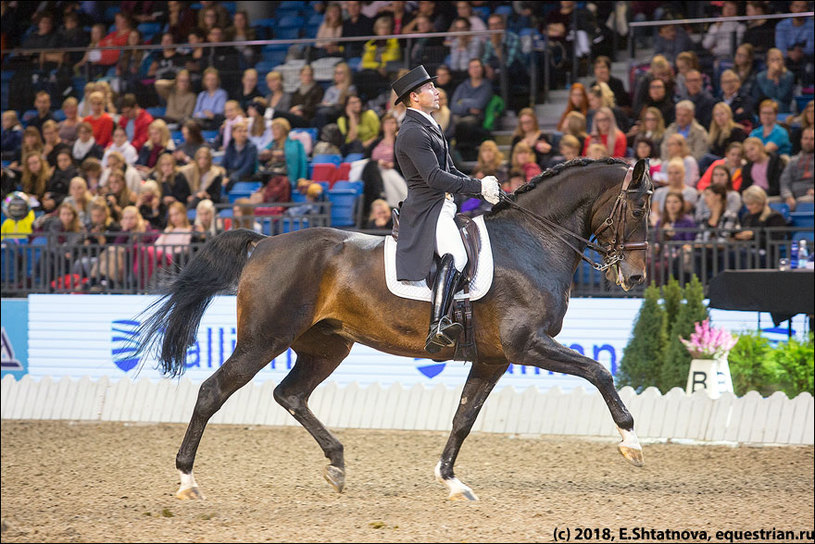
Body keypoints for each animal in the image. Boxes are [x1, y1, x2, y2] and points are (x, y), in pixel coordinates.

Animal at [134, 155, 656, 500]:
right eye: (637, 209)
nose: (634, 279)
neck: (533, 241)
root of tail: (264, 243)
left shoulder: (493, 358)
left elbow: (464, 417)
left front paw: (451, 481)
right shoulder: (526, 345)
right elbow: (598, 371)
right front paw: (631, 443)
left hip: (326, 347)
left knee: (291, 394)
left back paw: (337, 464)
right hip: (264, 340)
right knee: (213, 392)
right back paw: (187, 480)